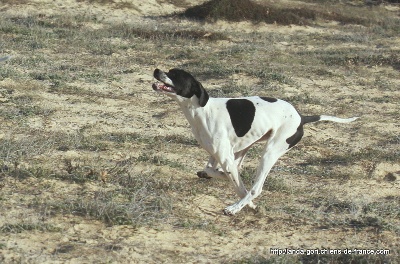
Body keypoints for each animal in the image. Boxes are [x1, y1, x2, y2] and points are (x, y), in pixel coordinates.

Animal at [152, 68, 356, 214]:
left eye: (175, 74)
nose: (156, 70)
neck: (202, 110)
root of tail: (301, 117)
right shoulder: (218, 155)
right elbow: (211, 169)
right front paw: (215, 175)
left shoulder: (225, 158)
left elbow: (239, 186)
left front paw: (247, 205)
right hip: (246, 147)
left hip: (269, 153)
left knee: (256, 188)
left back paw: (235, 208)